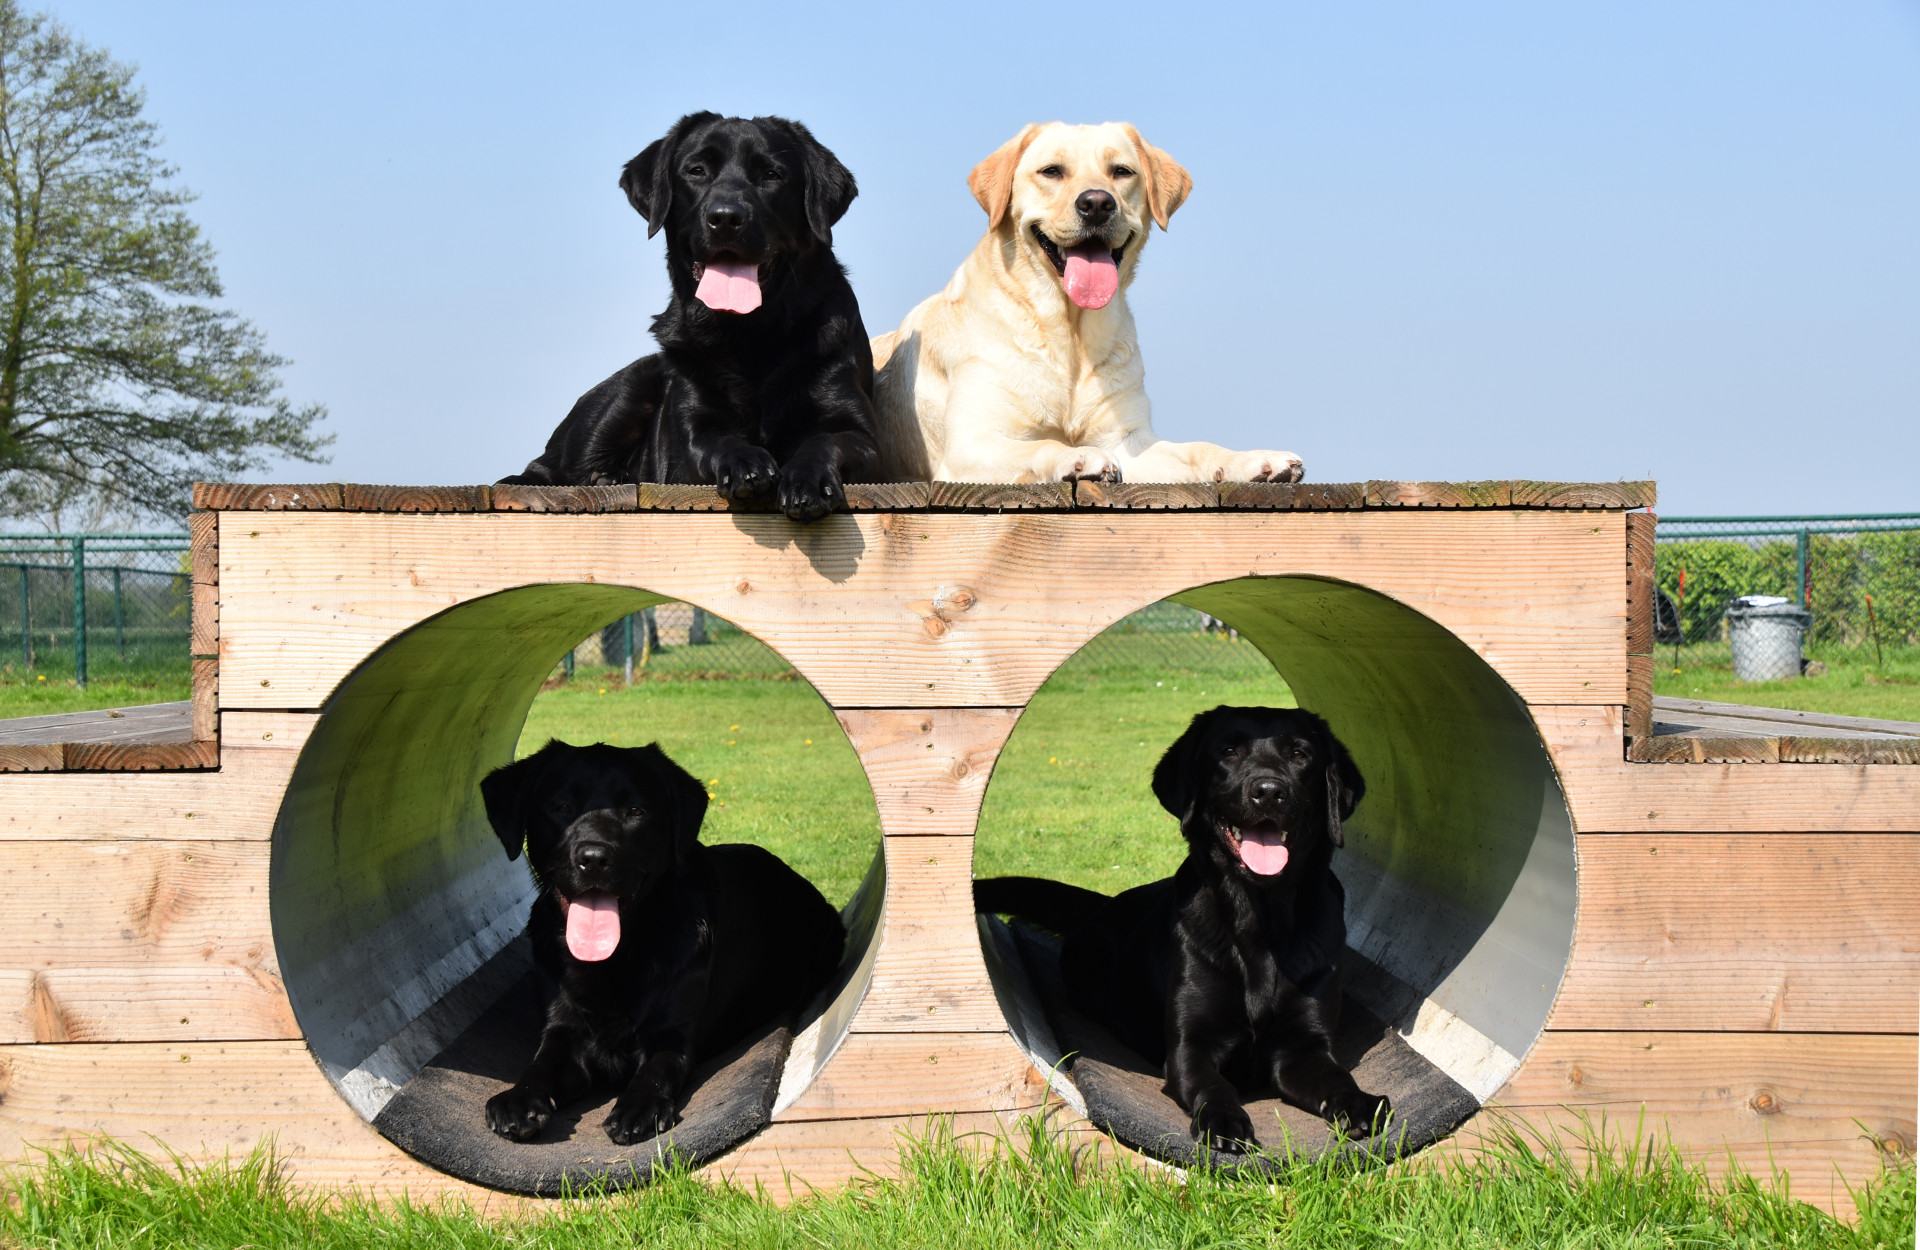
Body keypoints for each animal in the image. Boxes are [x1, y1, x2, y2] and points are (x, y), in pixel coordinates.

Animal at [480, 745, 840, 1144]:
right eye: (561, 807)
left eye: (636, 811)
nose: (593, 859)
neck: (616, 957)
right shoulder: (564, 1028)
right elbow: (542, 1061)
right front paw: (518, 1099)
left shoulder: (672, 1033)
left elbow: (657, 1067)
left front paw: (638, 1106)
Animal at [499, 113, 879, 529]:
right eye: (696, 170)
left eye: (772, 175)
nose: (725, 217)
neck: (753, 336)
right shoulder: (691, 426)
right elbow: (716, 441)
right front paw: (747, 463)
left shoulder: (862, 434)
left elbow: (826, 440)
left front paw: (807, 482)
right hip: (626, 389)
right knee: (548, 467)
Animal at [875, 122, 1305, 483]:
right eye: (1051, 171)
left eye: (1122, 171)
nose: (1097, 203)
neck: (1070, 336)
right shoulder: (971, 443)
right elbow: (1042, 445)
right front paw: (1076, 455)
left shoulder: (1128, 441)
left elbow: (1197, 448)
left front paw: (1254, 460)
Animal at [983, 710, 1390, 1152]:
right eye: (1228, 751)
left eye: (1300, 754)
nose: (1268, 791)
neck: (1259, 916)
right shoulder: (1189, 1046)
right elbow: (1213, 1085)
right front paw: (1225, 1120)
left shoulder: (1304, 1046)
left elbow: (1337, 1076)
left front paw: (1359, 1104)